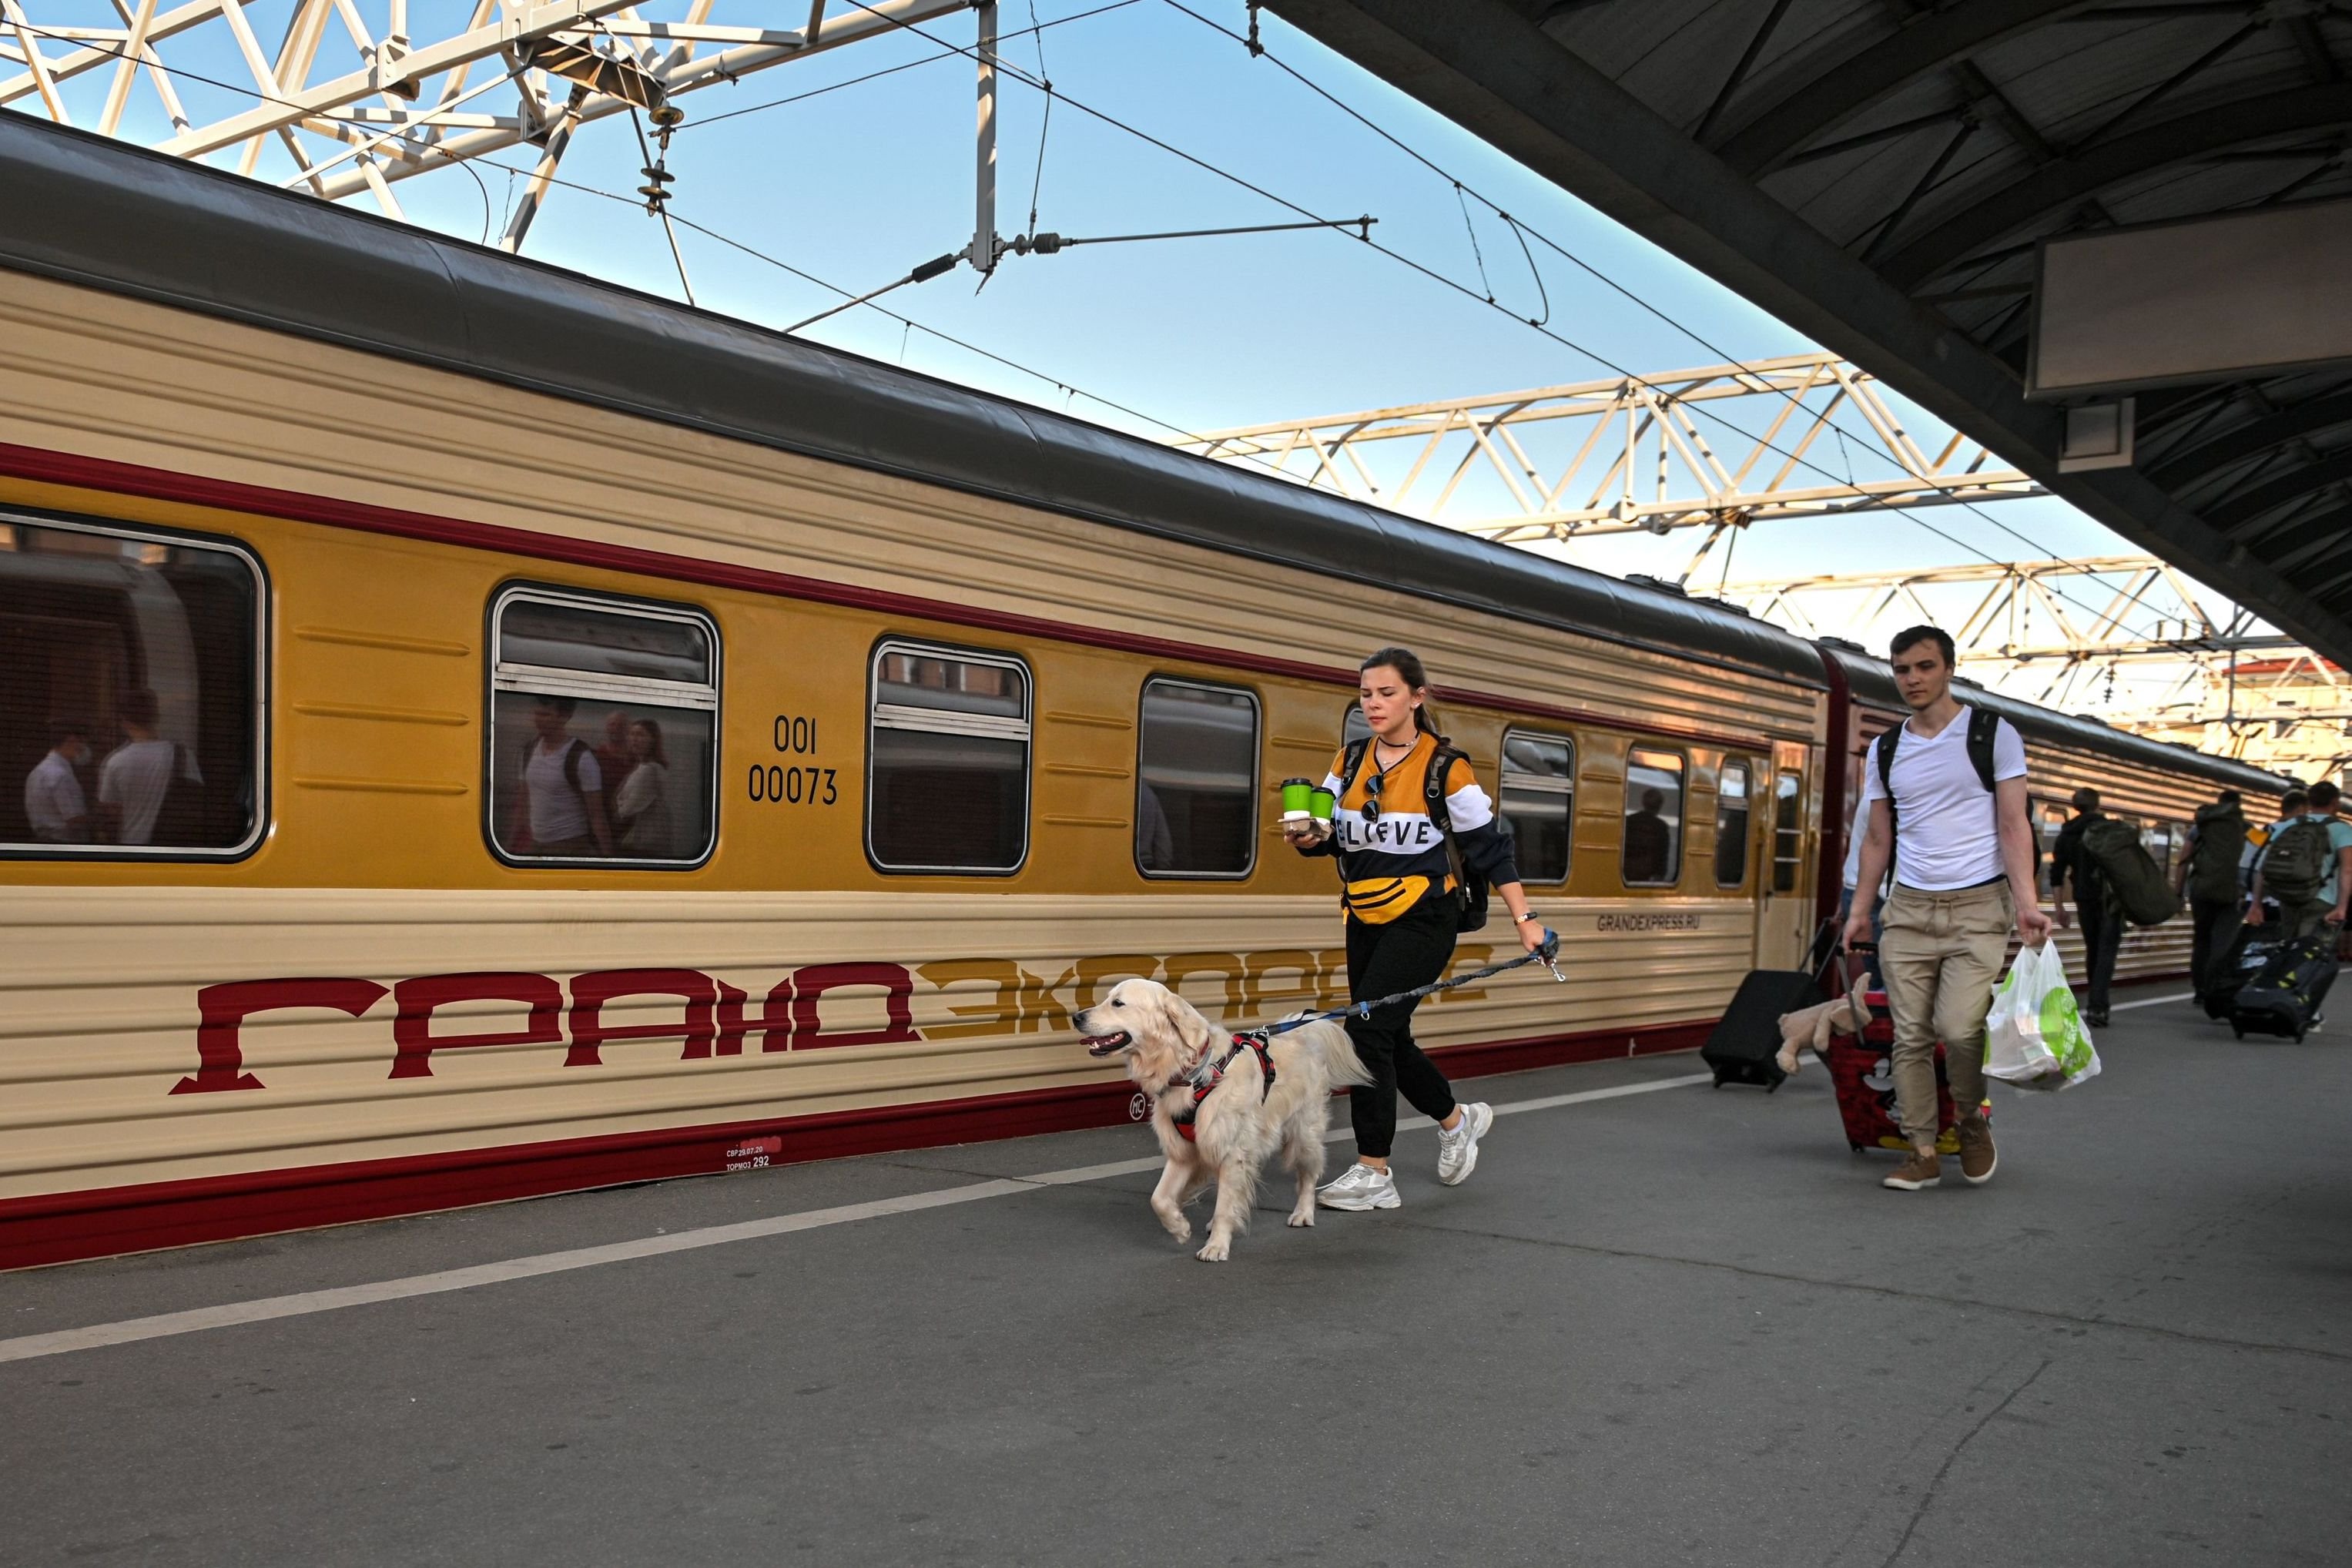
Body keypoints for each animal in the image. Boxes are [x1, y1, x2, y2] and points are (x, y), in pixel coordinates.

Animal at [1077, 982, 1373, 1260]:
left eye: (1118, 1003)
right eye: (1107, 998)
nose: (1077, 1017)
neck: (1190, 1072)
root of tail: (1303, 1033)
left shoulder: (1232, 1152)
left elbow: (1224, 1206)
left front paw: (1217, 1246)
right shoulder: (1184, 1151)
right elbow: (1158, 1198)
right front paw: (1179, 1226)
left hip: (1303, 1135)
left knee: (1308, 1176)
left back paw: (1303, 1213)